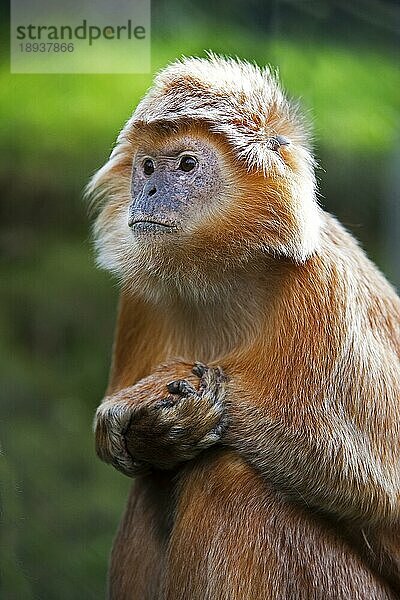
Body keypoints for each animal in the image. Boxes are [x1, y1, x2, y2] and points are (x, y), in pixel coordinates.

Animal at [87, 54, 400, 596]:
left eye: (186, 165)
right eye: (148, 166)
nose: (148, 190)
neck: (224, 272)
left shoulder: (323, 289)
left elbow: (384, 495)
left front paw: (170, 397)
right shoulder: (141, 297)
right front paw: (144, 427)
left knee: (228, 474)